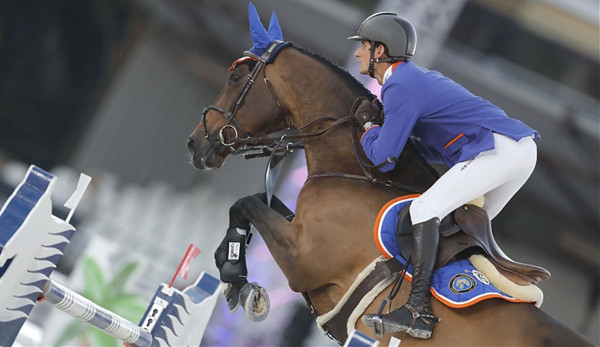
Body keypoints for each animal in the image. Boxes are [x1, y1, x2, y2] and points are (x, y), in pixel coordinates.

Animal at [185, 37, 592, 346]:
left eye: (235, 76)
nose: (194, 143)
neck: (356, 171)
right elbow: (251, 204)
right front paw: (232, 273)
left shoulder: (304, 258)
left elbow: (246, 202)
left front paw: (235, 276)